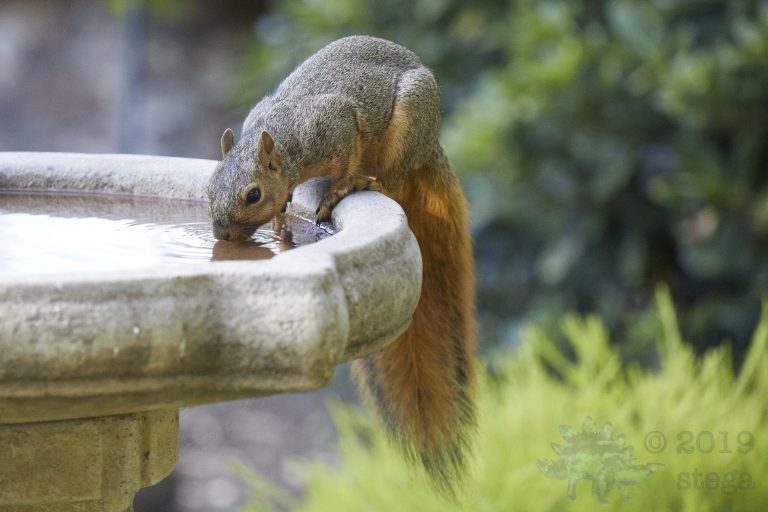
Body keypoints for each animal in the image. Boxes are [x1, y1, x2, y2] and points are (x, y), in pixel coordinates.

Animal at [207, 35, 476, 496]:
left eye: (253, 194)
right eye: (209, 189)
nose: (223, 235)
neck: (286, 139)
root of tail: (430, 145)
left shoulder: (337, 125)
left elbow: (346, 156)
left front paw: (338, 188)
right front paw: (282, 216)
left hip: (409, 124)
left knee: (390, 175)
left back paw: (368, 182)